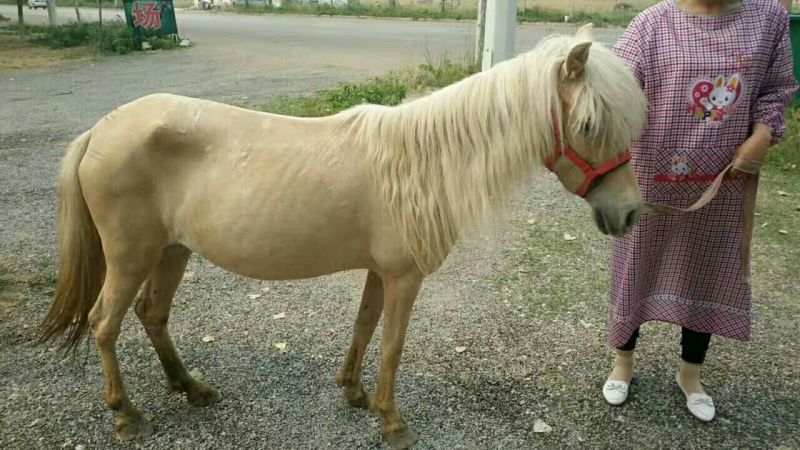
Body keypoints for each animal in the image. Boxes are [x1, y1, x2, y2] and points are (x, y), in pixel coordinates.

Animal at [40, 24, 647, 449]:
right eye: (589, 125)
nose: (629, 213)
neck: (423, 163)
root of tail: (100, 130)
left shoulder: (381, 271)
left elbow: (364, 326)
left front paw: (355, 394)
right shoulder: (404, 276)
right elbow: (393, 344)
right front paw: (392, 421)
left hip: (172, 250)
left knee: (153, 315)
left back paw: (192, 389)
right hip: (131, 255)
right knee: (104, 323)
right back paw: (126, 416)